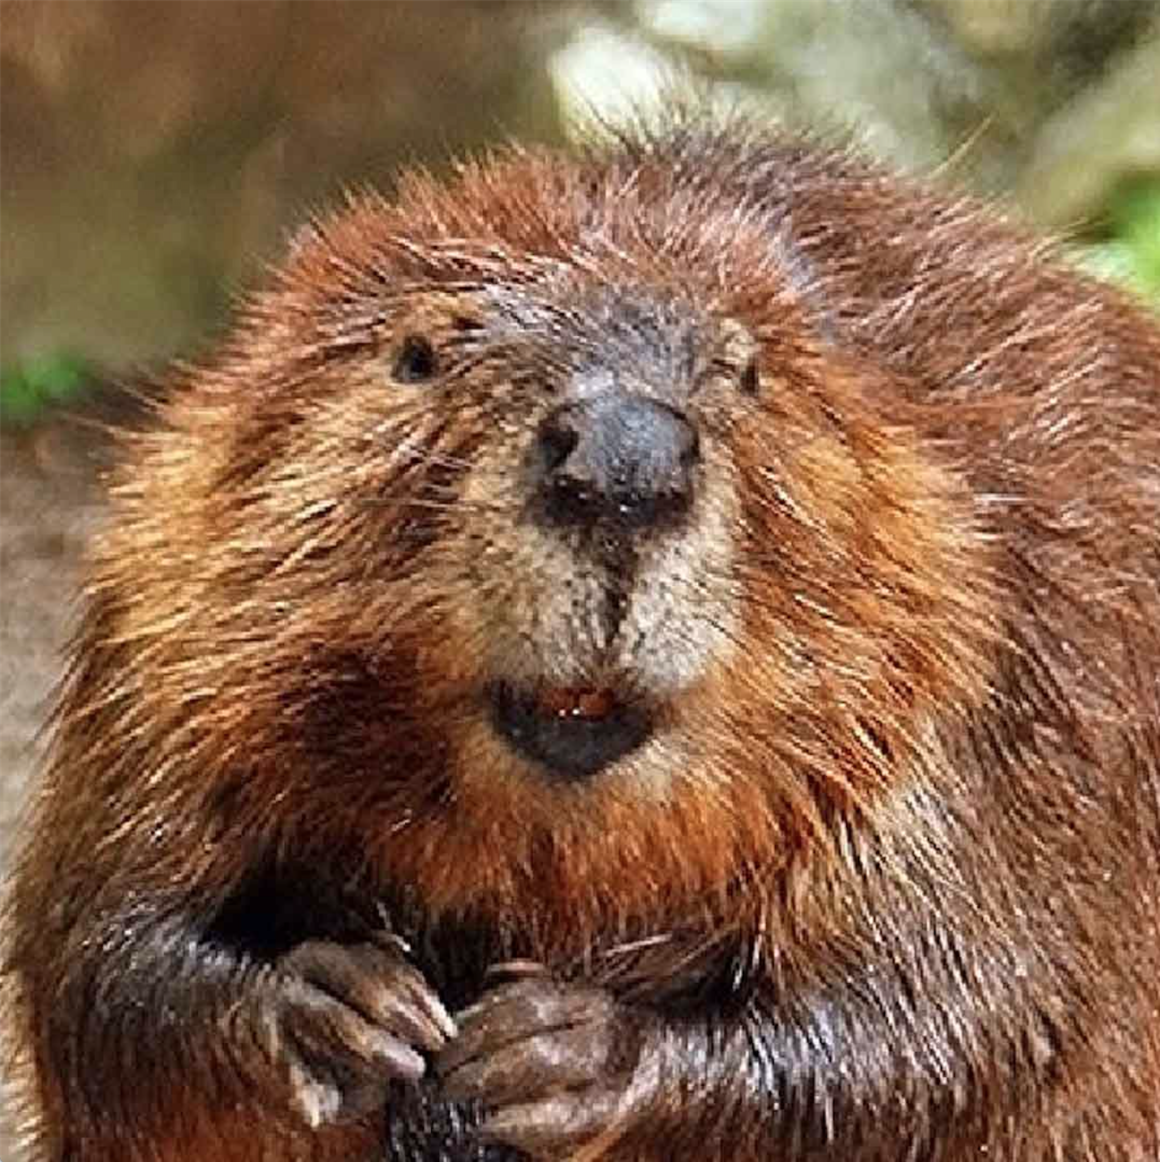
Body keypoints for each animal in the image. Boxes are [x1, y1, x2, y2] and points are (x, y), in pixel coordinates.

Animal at [2, 115, 1160, 1162]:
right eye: (416, 352)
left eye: (748, 371)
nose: (623, 459)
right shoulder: (156, 626)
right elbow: (98, 951)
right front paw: (343, 1007)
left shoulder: (983, 670)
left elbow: (957, 1016)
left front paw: (553, 1051)